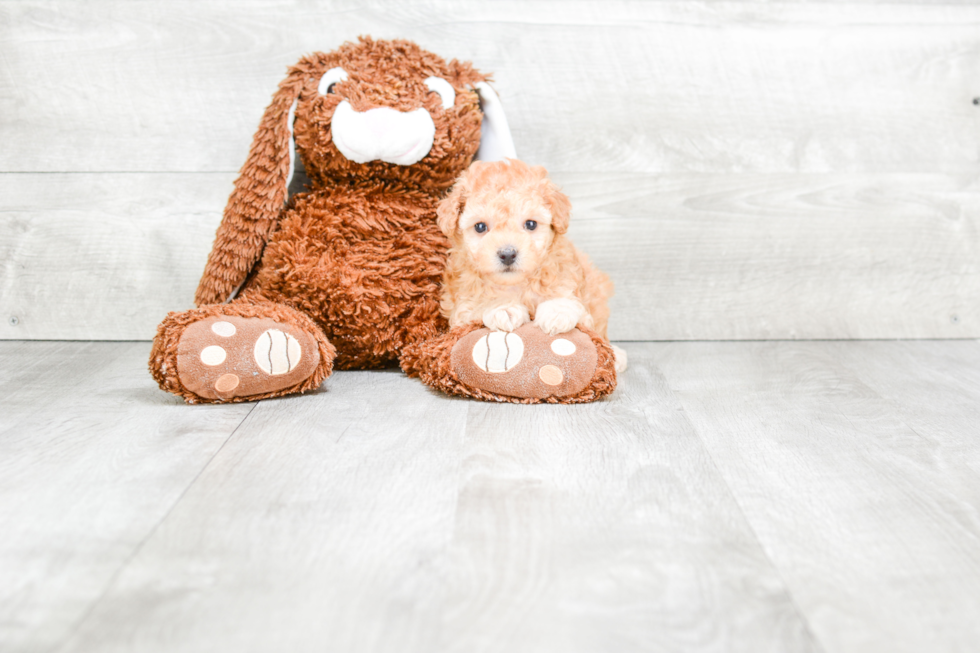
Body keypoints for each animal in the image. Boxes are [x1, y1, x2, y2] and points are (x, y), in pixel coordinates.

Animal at [436, 159, 628, 372]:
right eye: (480, 227)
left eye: (530, 224)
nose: (508, 254)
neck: (516, 284)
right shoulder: (460, 309)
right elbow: (475, 305)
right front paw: (503, 307)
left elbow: (570, 304)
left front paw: (557, 311)